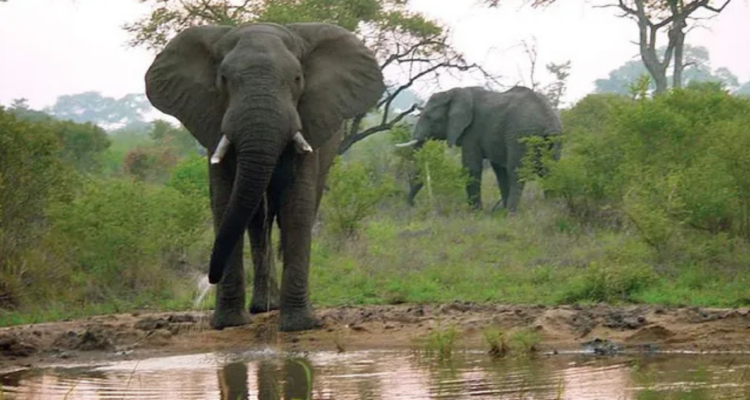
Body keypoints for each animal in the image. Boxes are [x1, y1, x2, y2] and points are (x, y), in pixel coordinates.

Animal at [144, 22, 385, 332]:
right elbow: (224, 204)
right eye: (224, 79)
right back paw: (262, 307)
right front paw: (229, 324)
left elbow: (297, 209)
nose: (208, 278)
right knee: (258, 220)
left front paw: (299, 325)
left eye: (297, 78)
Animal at [396, 85, 562, 213]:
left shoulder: (472, 131)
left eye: (429, 117)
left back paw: (512, 214)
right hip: (552, 139)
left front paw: (475, 213)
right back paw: (552, 209)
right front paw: (496, 212)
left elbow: (471, 167)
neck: (454, 92)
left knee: (517, 172)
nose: (412, 205)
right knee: (549, 171)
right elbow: (499, 170)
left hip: (521, 135)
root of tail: (547, 120)